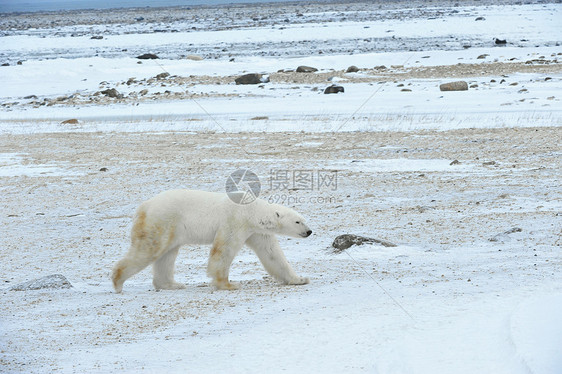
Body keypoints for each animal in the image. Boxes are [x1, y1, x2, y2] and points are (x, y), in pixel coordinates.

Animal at [109, 190, 310, 292]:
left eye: (302, 219)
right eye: (298, 221)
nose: (309, 231)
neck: (251, 210)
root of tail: (143, 207)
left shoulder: (256, 232)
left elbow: (272, 254)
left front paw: (299, 279)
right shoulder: (234, 220)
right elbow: (223, 250)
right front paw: (228, 284)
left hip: (171, 228)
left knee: (166, 256)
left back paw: (171, 284)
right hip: (162, 220)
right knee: (149, 249)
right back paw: (118, 282)